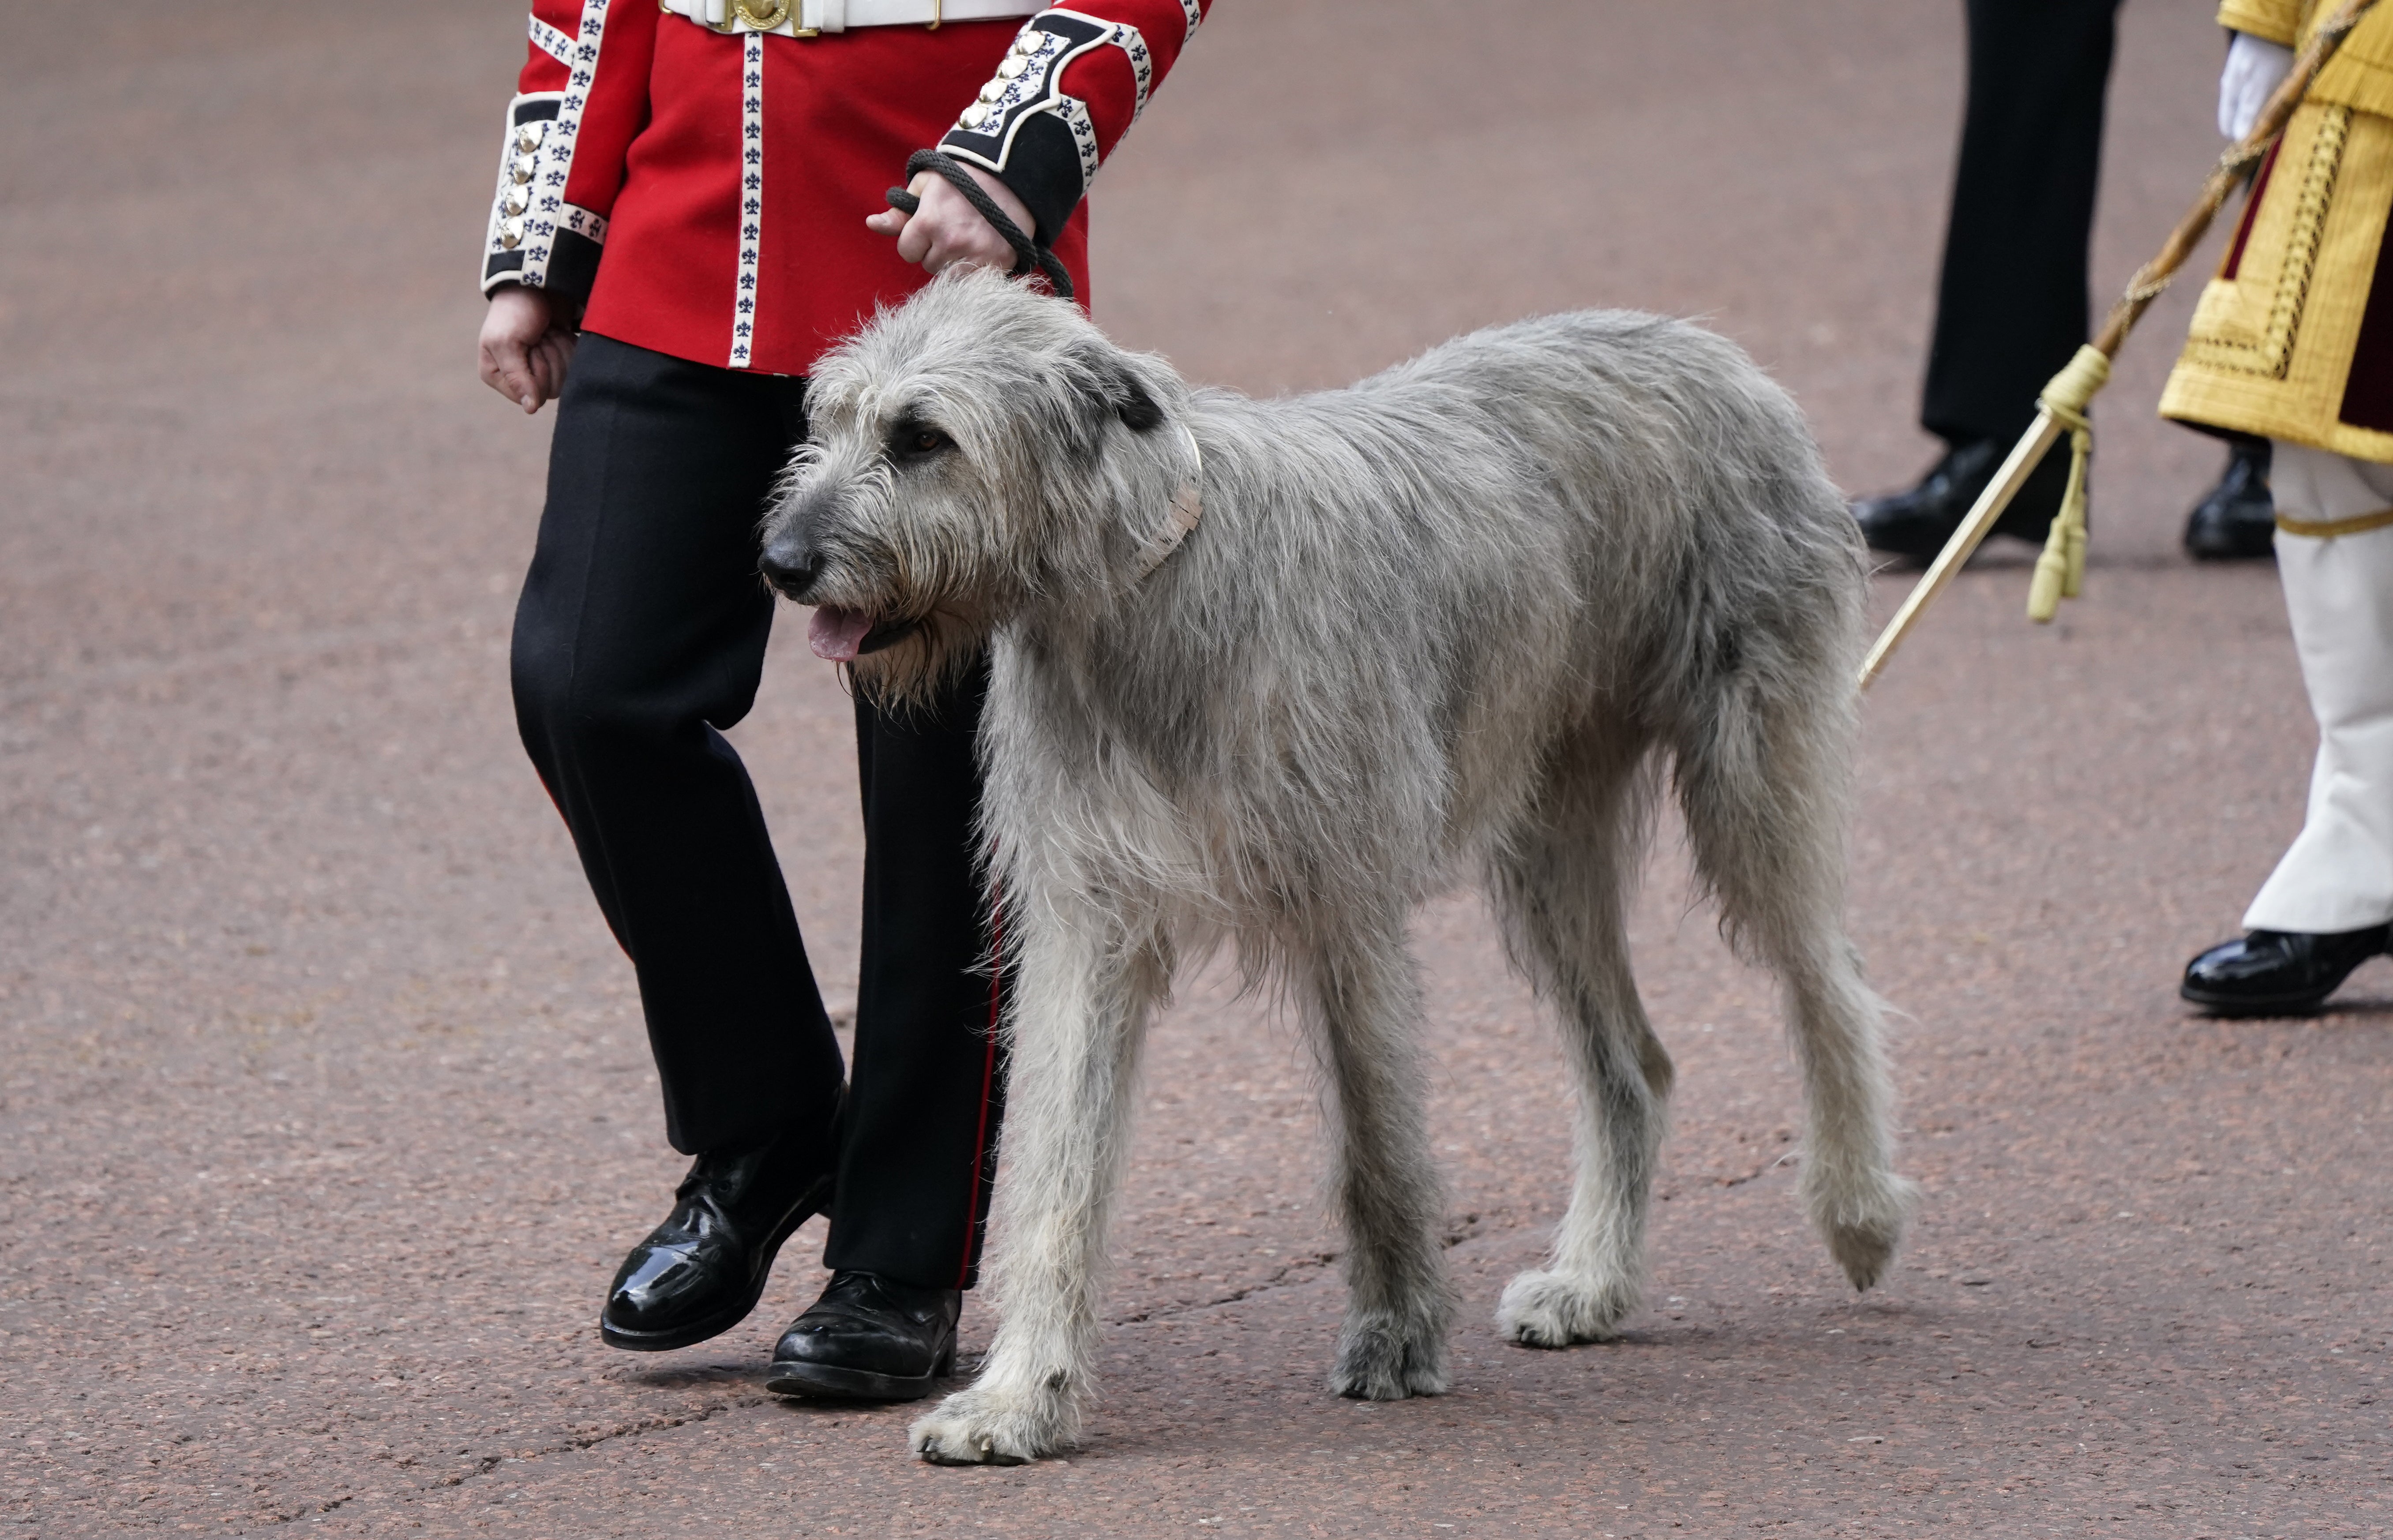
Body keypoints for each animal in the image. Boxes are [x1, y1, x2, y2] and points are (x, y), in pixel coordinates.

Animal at [765, 268, 1924, 1463]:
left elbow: (1376, 1139)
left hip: (1752, 777)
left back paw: (1857, 1209)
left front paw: (1398, 1334)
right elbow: (1056, 1167)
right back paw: (1593, 1281)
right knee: (1632, 1065)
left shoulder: (1345, 901)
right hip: (1547, 844)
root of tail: (1711, 349)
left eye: (922, 437)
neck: (1140, 595)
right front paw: (1017, 1396)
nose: (781, 563)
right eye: (827, 422)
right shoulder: (1089, 916)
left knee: (1826, 978)